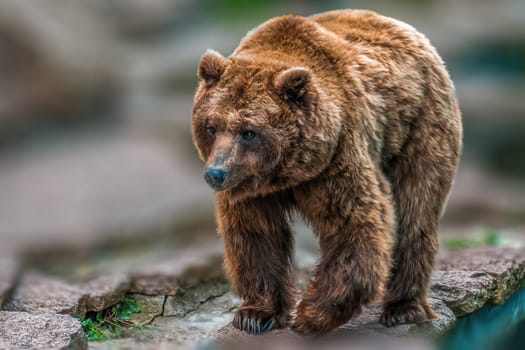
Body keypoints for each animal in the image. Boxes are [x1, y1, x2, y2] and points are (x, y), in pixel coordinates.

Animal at [191, 9, 458, 334]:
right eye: (211, 126)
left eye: (249, 132)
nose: (215, 174)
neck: (287, 173)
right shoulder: (251, 189)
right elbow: (255, 235)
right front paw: (255, 315)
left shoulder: (337, 157)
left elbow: (353, 224)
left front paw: (310, 314)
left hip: (419, 128)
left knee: (416, 208)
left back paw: (403, 308)